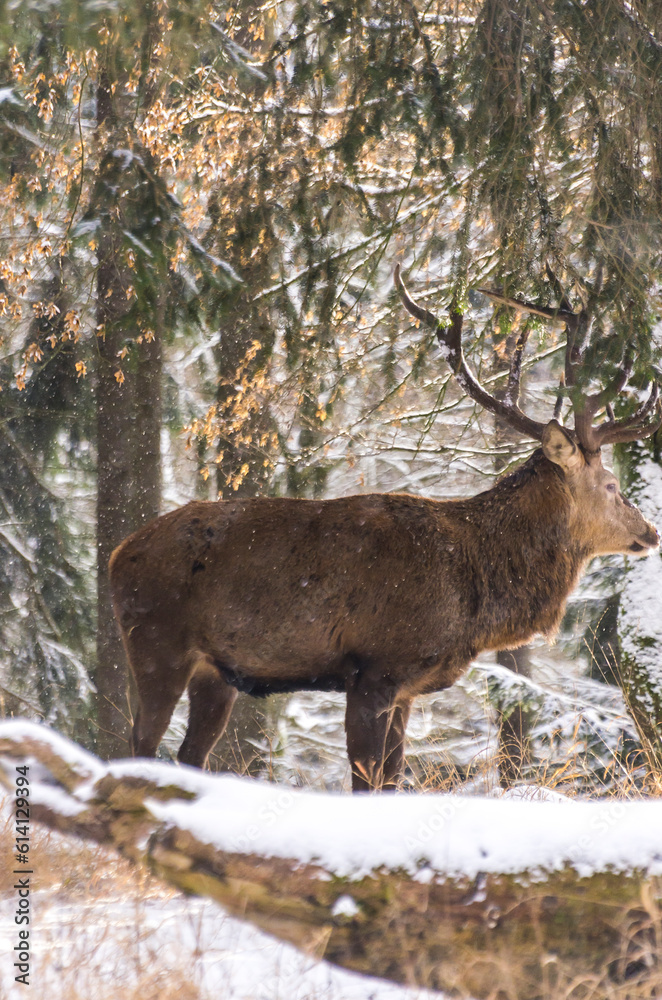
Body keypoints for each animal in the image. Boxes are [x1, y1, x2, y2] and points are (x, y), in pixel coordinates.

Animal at [109, 265, 661, 791]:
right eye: (611, 485)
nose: (650, 531)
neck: (472, 589)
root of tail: (117, 555)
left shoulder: (408, 688)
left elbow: (393, 780)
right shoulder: (374, 668)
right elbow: (365, 780)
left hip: (217, 671)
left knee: (189, 755)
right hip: (156, 643)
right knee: (138, 743)